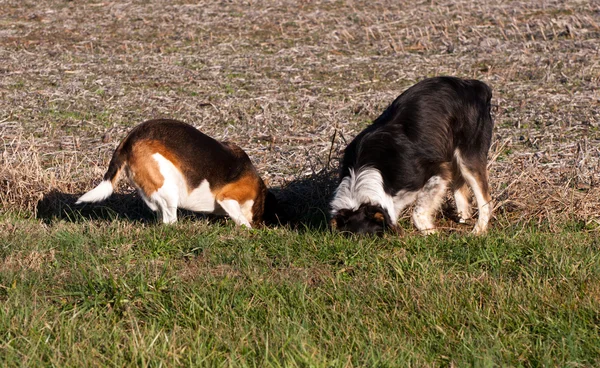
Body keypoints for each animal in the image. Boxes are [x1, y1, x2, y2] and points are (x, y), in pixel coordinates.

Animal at [330, 76, 494, 234]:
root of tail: (474, 86)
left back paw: (477, 231)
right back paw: (463, 221)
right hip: (452, 156)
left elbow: (417, 213)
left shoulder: (437, 171)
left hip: (468, 158)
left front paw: (431, 233)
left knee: (486, 200)